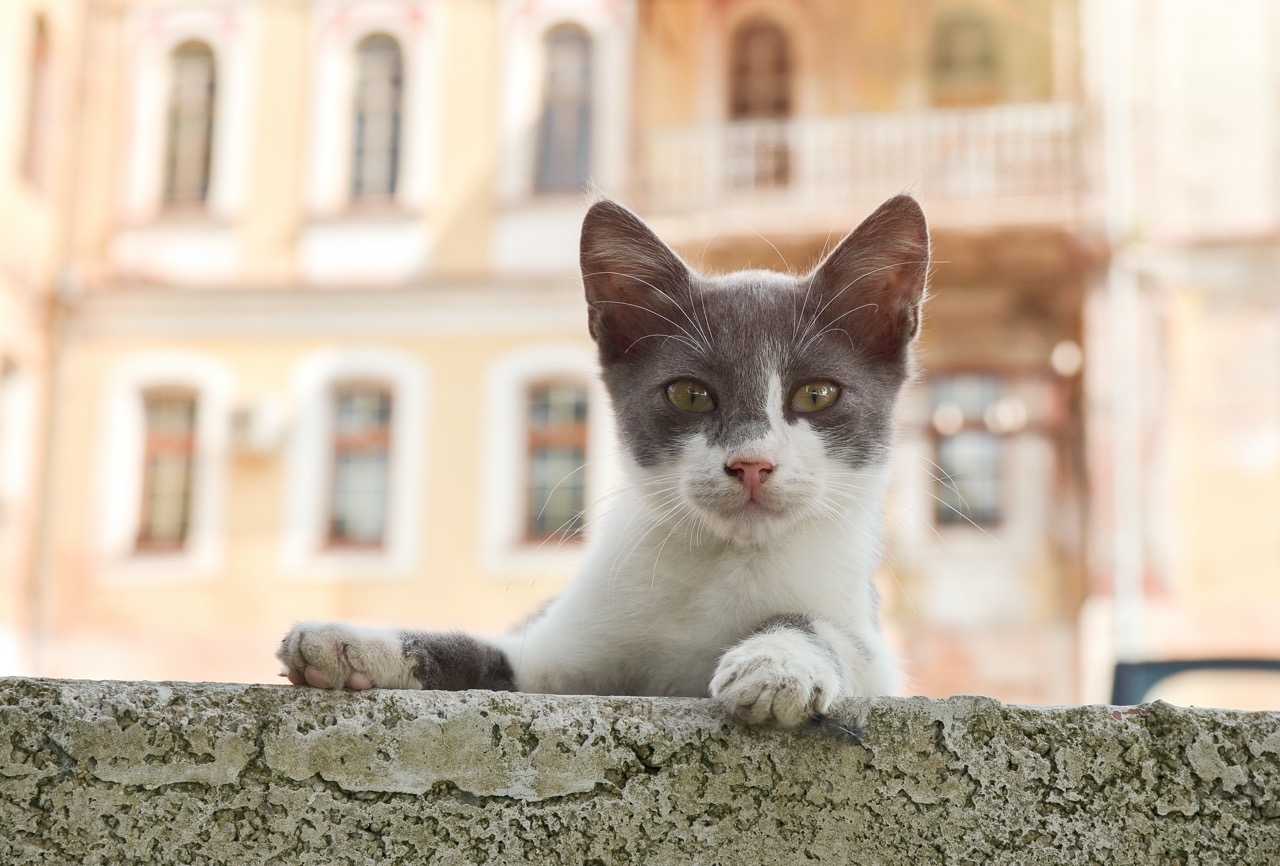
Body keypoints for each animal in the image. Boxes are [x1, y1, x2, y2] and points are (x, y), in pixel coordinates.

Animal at [277, 193, 931, 726]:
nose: (751, 463)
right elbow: (485, 655)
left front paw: (779, 662)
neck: (726, 563)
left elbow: (830, 632)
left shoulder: (873, 648)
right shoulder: (550, 658)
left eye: (816, 395)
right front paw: (351, 646)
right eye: (689, 394)